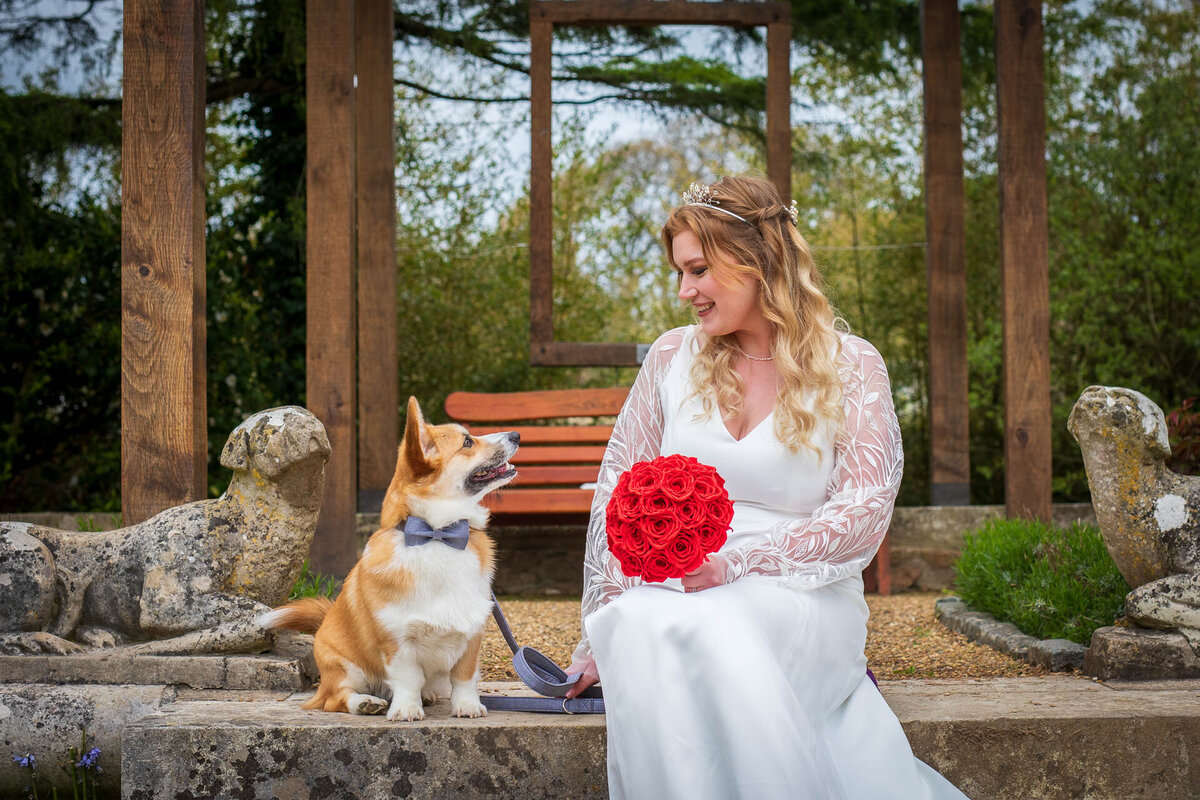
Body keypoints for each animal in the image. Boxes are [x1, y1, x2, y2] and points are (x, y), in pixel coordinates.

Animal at [262, 398, 516, 724]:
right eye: (468, 442)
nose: (517, 435)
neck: (437, 534)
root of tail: (323, 623)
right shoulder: (397, 640)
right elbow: (408, 678)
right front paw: (406, 709)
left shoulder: (471, 631)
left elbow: (465, 677)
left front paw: (467, 706)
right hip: (346, 668)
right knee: (334, 698)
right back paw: (366, 703)